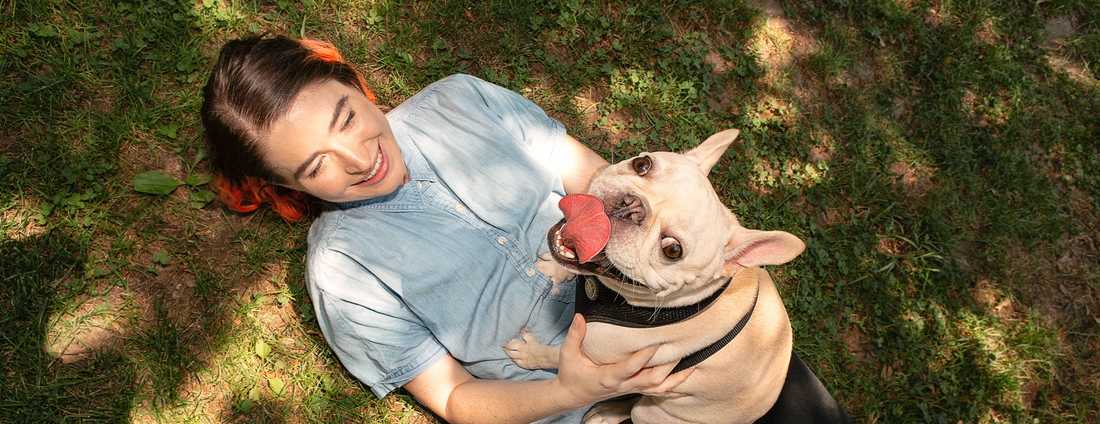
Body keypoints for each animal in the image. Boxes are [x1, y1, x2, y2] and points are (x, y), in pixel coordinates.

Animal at [506, 128, 849, 422]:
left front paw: (532, 353)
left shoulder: (594, 360)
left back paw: (604, 415)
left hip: (653, 412)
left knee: (633, 408)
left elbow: (558, 359)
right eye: (642, 164)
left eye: (672, 250)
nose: (632, 206)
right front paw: (554, 268)